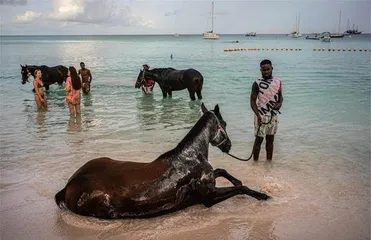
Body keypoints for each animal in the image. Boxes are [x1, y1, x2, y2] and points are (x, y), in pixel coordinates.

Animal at [55, 103, 270, 219]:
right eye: (224, 124)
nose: (229, 146)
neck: (190, 156)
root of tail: (68, 187)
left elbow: (222, 171)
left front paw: (239, 180)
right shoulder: (209, 197)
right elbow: (240, 188)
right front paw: (262, 195)